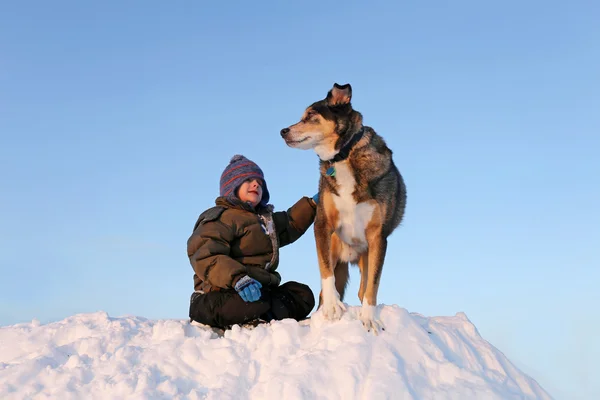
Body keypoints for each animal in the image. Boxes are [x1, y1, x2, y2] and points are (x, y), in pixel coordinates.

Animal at [282, 84, 408, 334]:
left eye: (311, 115)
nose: (283, 131)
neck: (344, 155)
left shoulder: (378, 236)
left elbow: (372, 285)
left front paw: (369, 318)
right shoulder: (322, 224)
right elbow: (325, 273)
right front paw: (332, 307)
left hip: (366, 256)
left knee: (363, 288)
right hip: (335, 250)